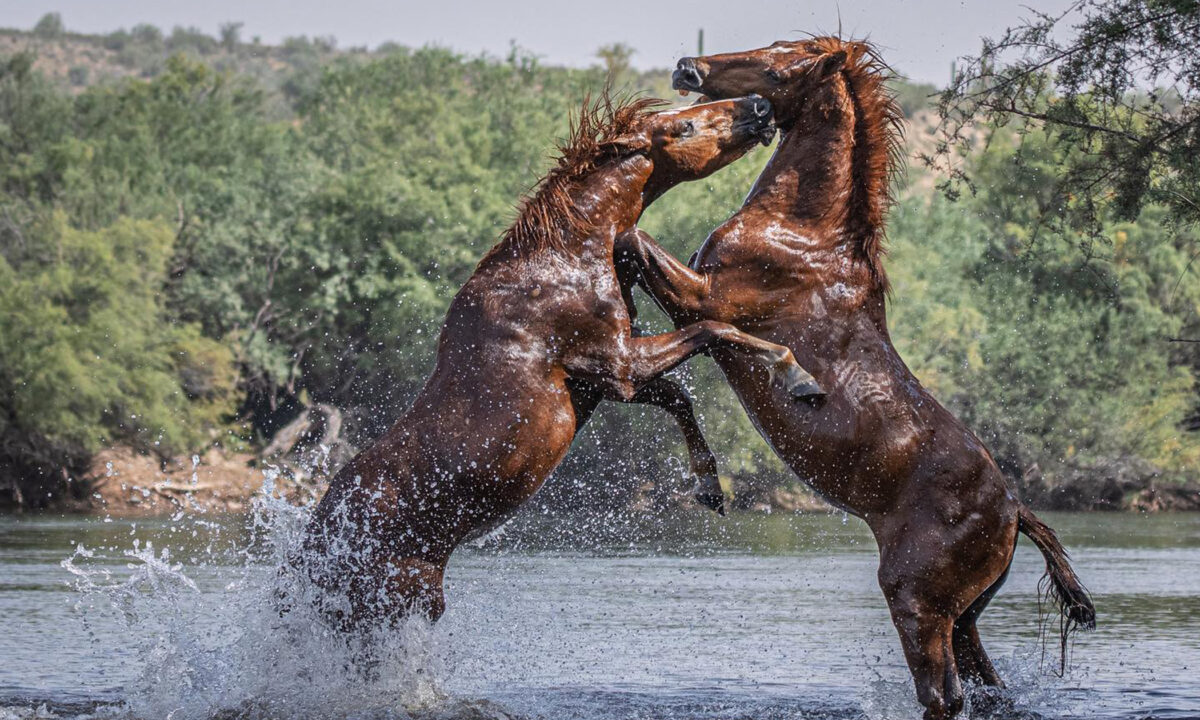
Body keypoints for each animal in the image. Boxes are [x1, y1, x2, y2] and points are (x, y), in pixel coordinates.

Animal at [299, 93, 823, 629]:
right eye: (685, 127)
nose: (758, 106)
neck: (571, 255)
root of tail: (314, 553)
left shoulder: (603, 380)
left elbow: (678, 396)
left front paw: (710, 487)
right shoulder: (617, 365)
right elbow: (714, 331)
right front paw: (797, 373)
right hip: (399, 601)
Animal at [614, 38, 1095, 719]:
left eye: (777, 61)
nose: (689, 68)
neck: (802, 232)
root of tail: (1015, 513)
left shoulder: (703, 296)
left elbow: (630, 241)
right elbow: (627, 250)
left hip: (916, 604)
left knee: (943, 696)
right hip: (964, 618)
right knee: (984, 689)